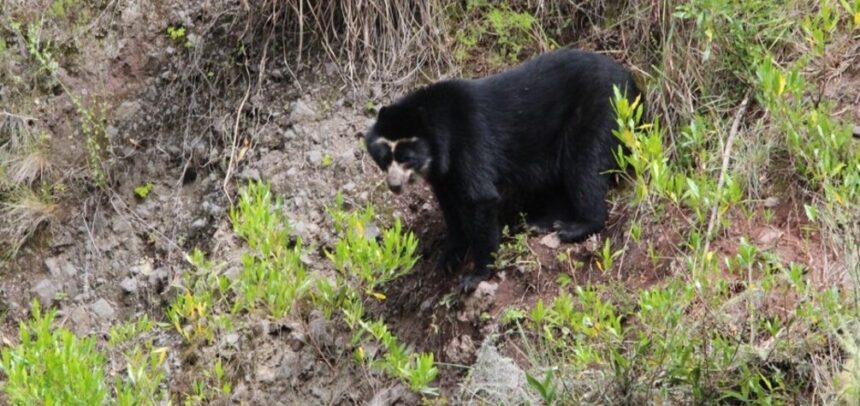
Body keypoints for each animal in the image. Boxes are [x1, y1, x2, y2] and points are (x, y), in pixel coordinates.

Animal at [366, 48, 640, 292]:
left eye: (406, 158)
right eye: (383, 158)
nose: (394, 185)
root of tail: (632, 83)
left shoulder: (469, 140)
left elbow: (479, 199)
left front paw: (475, 276)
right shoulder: (443, 174)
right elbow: (450, 207)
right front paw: (448, 258)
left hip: (601, 113)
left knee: (584, 169)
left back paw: (574, 227)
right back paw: (541, 224)